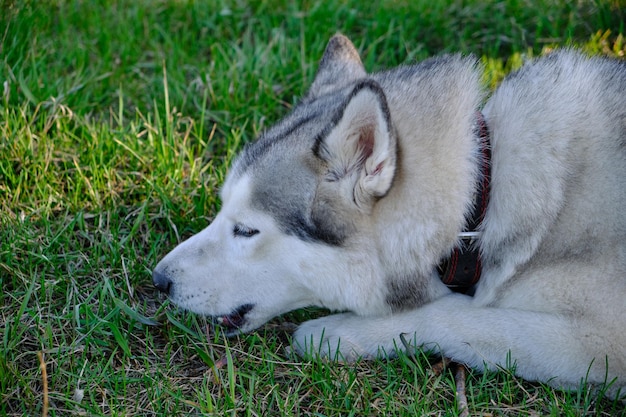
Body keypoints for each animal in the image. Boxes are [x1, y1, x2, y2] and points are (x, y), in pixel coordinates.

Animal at [152, 35, 624, 394]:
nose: (158, 280)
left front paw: (335, 333)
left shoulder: (599, 344)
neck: (484, 192)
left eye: (247, 230)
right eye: (221, 210)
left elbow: (453, 312)